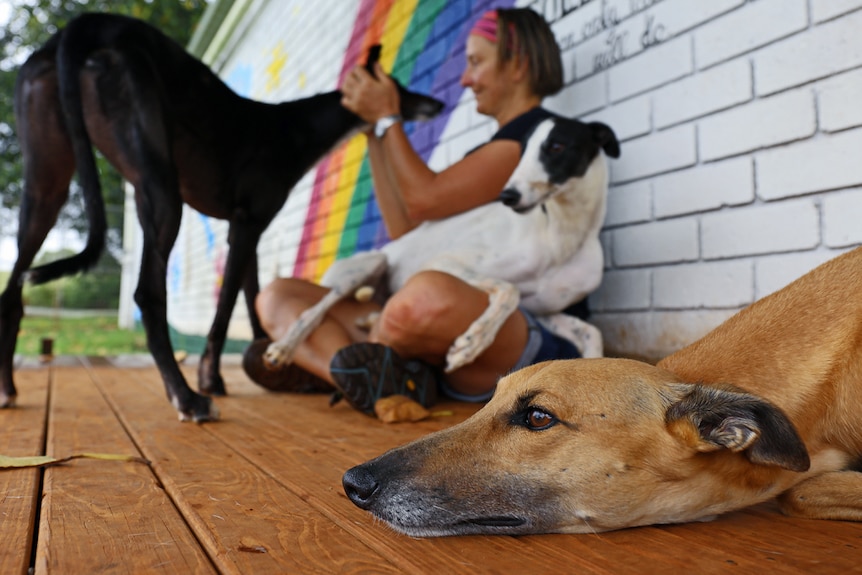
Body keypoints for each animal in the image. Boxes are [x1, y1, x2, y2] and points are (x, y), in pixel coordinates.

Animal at [0, 11, 442, 420]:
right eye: (396, 87)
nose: (438, 103)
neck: (295, 128)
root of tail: (88, 24)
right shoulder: (247, 225)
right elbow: (226, 309)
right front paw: (212, 379)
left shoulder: (245, 230)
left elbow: (252, 299)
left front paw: (270, 362)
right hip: (161, 191)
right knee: (148, 294)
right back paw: (186, 397)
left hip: (45, 191)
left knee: (13, 293)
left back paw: (7, 390)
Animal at [264, 118, 620, 374]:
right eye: (521, 153)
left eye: (557, 146)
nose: (508, 195)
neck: (558, 235)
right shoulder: (446, 262)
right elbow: (509, 289)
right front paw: (471, 342)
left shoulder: (543, 311)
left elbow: (592, 332)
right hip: (367, 266)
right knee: (312, 311)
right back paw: (283, 348)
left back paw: (368, 320)